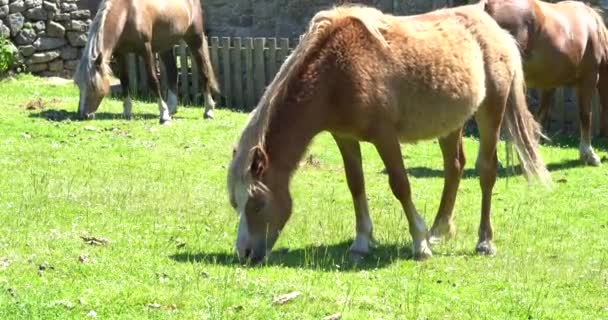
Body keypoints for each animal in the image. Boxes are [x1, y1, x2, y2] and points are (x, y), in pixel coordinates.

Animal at [74, 0, 220, 124]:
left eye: (93, 86)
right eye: (79, 85)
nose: (83, 115)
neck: (127, 11)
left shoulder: (146, 50)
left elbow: (153, 80)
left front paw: (163, 114)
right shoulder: (120, 53)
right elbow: (124, 81)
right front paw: (127, 112)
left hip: (195, 39)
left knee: (204, 73)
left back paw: (208, 111)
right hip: (165, 46)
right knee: (173, 73)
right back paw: (172, 108)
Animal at [227, 3, 552, 262]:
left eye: (257, 203)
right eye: (236, 204)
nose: (245, 253)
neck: (335, 70)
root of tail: (495, 28)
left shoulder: (384, 136)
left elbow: (400, 185)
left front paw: (419, 243)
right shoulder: (344, 137)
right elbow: (355, 184)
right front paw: (361, 242)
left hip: (491, 110)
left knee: (486, 171)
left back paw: (483, 241)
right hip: (450, 122)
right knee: (454, 167)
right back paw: (439, 229)